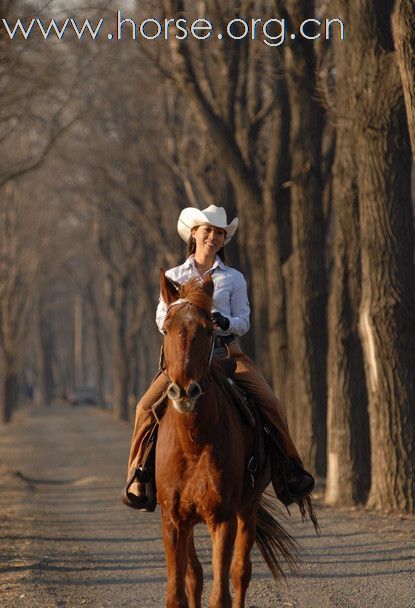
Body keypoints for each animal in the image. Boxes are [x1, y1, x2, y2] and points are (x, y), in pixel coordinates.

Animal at [157, 272, 300, 608]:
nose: (184, 391)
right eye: (166, 328)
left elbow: (220, 593)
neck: (193, 442)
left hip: (247, 507)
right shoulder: (173, 520)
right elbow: (180, 590)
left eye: (209, 330)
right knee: (196, 577)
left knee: (240, 572)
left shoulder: (222, 519)